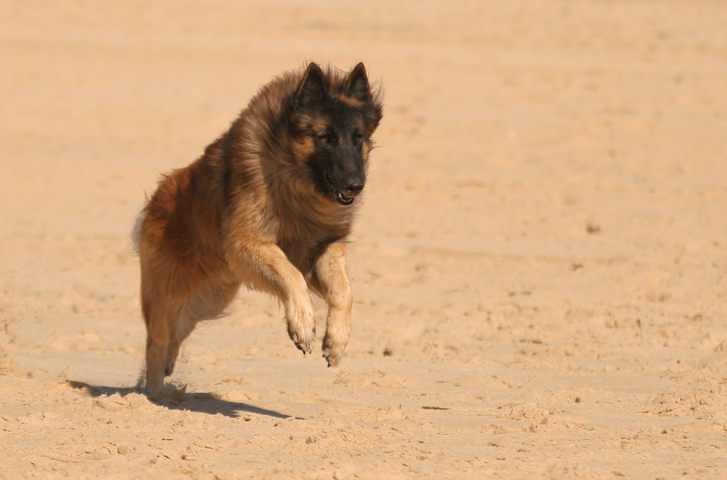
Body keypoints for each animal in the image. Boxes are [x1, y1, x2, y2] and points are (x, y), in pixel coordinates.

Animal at [132, 62, 382, 394]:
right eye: (325, 137)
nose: (355, 185)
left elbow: (344, 291)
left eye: (358, 137)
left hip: (211, 297)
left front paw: (336, 341)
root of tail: (157, 197)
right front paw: (303, 324)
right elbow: (291, 275)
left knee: (179, 329)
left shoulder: (323, 247)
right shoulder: (248, 243)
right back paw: (154, 391)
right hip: (168, 295)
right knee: (158, 338)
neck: (293, 177)